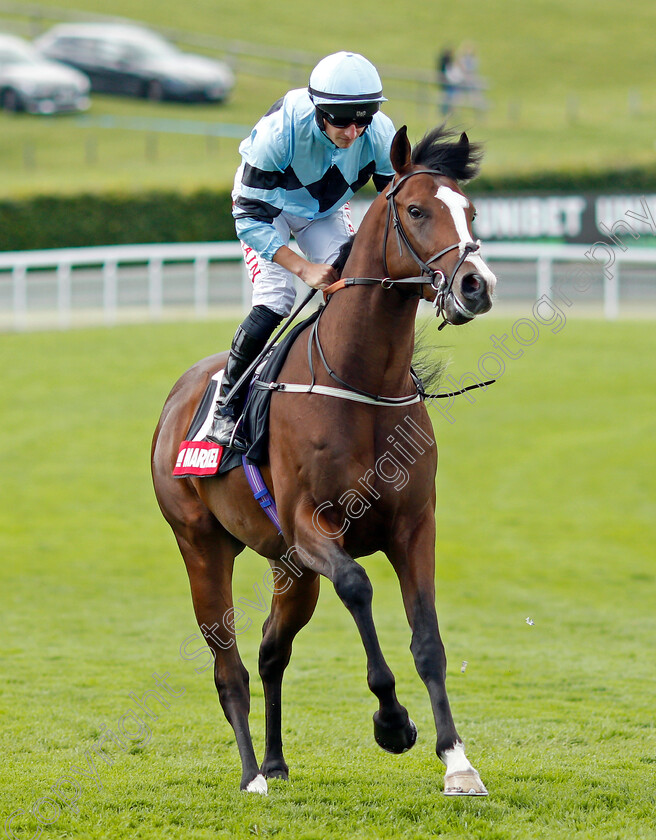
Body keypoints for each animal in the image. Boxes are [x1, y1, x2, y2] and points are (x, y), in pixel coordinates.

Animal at [150, 123, 498, 796]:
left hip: (289, 569)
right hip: (200, 545)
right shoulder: (313, 527)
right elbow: (359, 587)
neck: (362, 381)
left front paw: (457, 762)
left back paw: (276, 763)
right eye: (417, 211)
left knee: (270, 650)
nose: (477, 285)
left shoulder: (414, 526)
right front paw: (392, 723)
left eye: (470, 211)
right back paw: (252, 776)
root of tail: (178, 395)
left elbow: (428, 641)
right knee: (229, 665)